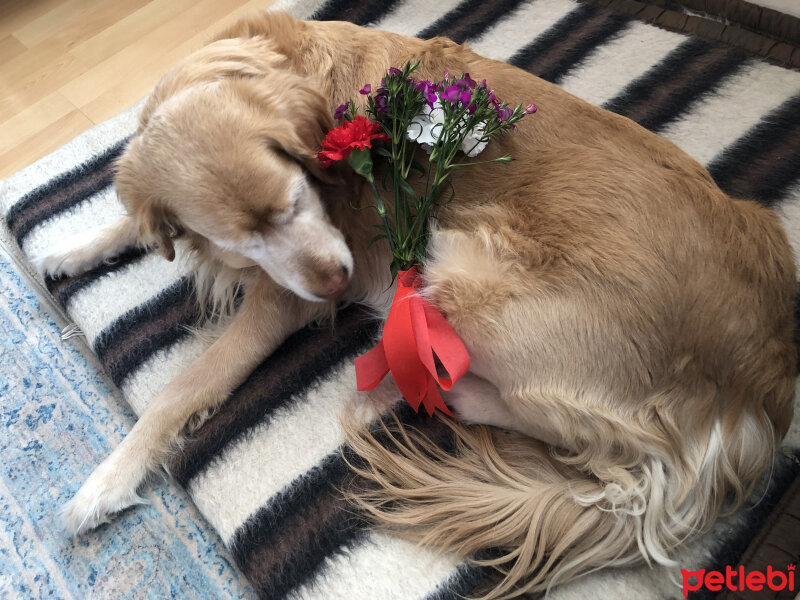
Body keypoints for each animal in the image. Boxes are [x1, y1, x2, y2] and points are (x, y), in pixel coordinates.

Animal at [42, 10, 792, 600]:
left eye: (294, 200)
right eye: (242, 237)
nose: (335, 282)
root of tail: (762, 390)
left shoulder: (283, 301)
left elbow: (182, 387)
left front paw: (105, 483)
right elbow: (131, 221)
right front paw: (70, 250)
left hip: (460, 271)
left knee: (564, 425)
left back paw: (427, 387)